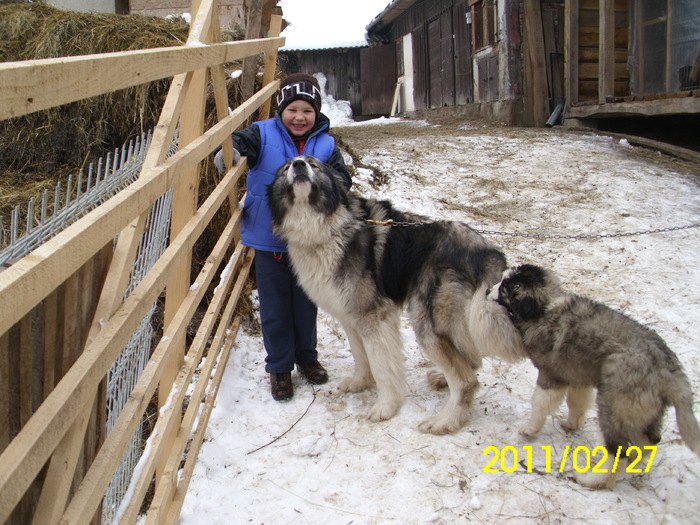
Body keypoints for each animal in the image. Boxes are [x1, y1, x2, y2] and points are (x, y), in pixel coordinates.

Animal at [266, 156, 524, 434]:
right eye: (286, 167)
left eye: (313, 164)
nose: (299, 164)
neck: (328, 227)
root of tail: (489, 253)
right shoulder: (351, 317)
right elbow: (360, 356)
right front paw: (360, 383)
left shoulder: (374, 317)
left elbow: (382, 365)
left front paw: (386, 407)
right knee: (470, 358)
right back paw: (442, 380)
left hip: (427, 323)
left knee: (466, 380)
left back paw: (445, 421)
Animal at [470, 264, 700, 490]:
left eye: (505, 289)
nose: (488, 290)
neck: (545, 309)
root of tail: (670, 371)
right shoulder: (576, 374)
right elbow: (577, 402)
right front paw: (572, 424)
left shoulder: (550, 375)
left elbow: (540, 403)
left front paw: (530, 429)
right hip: (645, 412)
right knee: (650, 441)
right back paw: (635, 464)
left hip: (615, 407)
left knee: (620, 451)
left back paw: (595, 480)